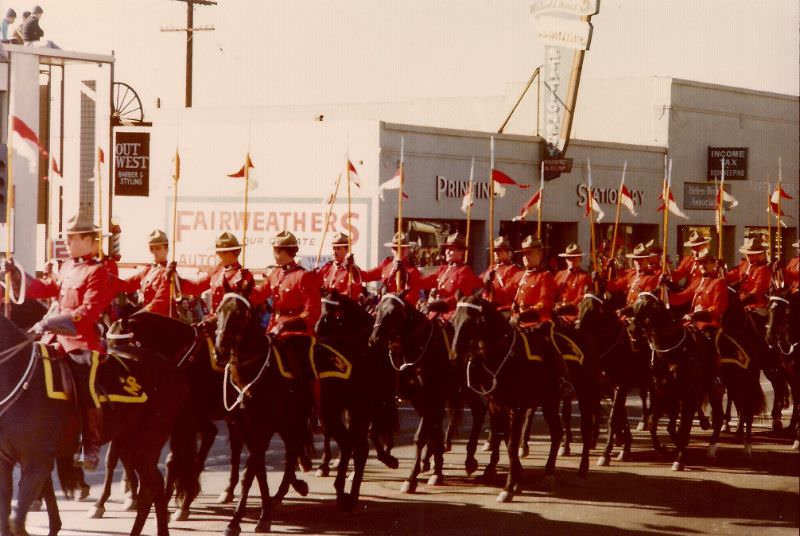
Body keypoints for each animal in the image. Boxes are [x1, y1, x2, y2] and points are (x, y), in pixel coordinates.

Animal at [454, 294, 564, 502]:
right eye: (454, 320)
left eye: (472, 321)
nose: (455, 353)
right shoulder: (495, 405)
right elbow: (500, 436)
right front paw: (499, 472)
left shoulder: (516, 408)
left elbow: (511, 444)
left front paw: (509, 487)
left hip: (550, 402)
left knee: (557, 433)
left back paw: (549, 473)